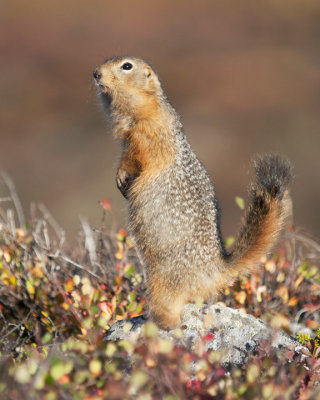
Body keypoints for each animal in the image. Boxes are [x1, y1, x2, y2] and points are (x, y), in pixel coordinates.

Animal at [93, 57, 292, 332]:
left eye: (126, 66)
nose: (95, 73)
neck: (140, 112)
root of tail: (216, 269)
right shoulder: (128, 142)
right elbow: (124, 159)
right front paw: (119, 179)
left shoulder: (148, 136)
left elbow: (140, 159)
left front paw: (126, 179)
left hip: (164, 279)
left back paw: (154, 322)